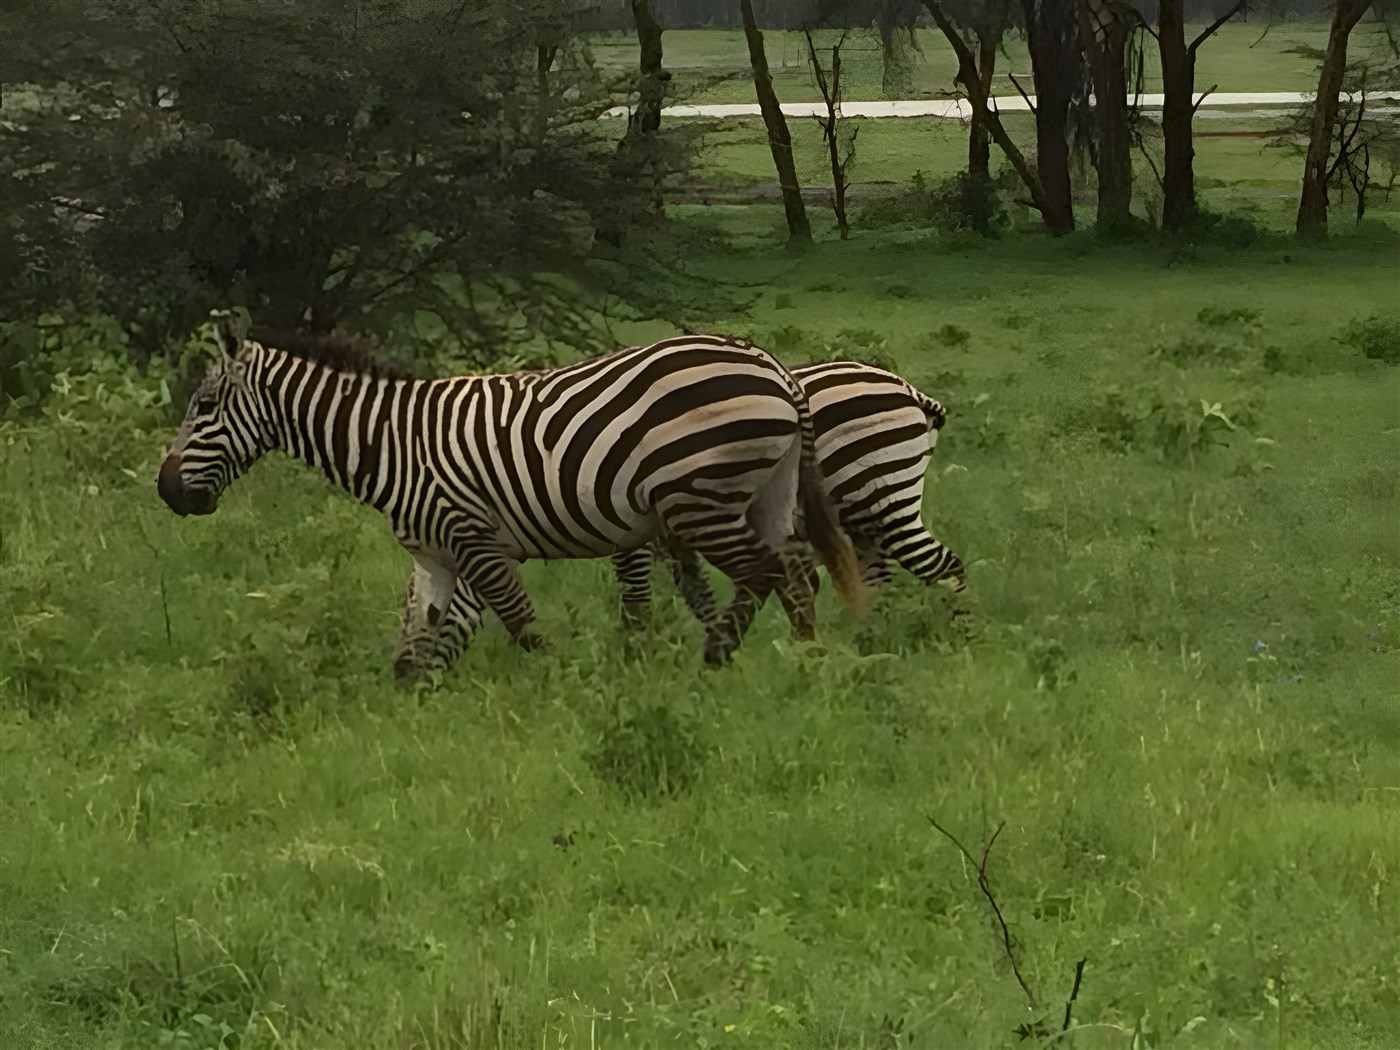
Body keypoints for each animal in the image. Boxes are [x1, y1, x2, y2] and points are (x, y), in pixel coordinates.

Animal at [157, 312, 864, 677]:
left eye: (204, 405)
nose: (166, 491)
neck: (391, 442)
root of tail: (772, 366)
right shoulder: (434, 557)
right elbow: (413, 647)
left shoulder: (475, 538)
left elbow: (522, 627)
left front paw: (558, 685)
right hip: (764, 493)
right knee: (795, 572)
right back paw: (804, 659)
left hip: (698, 500)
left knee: (767, 572)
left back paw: (726, 657)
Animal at [399, 359, 965, 673]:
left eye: (418, 613)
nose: (402, 679)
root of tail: (909, 390)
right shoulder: (670, 535)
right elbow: (699, 595)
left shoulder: (632, 534)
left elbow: (637, 599)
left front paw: (640, 658)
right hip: (865, 521)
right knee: (877, 583)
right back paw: (872, 643)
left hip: (883, 497)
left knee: (943, 568)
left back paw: (960, 643)